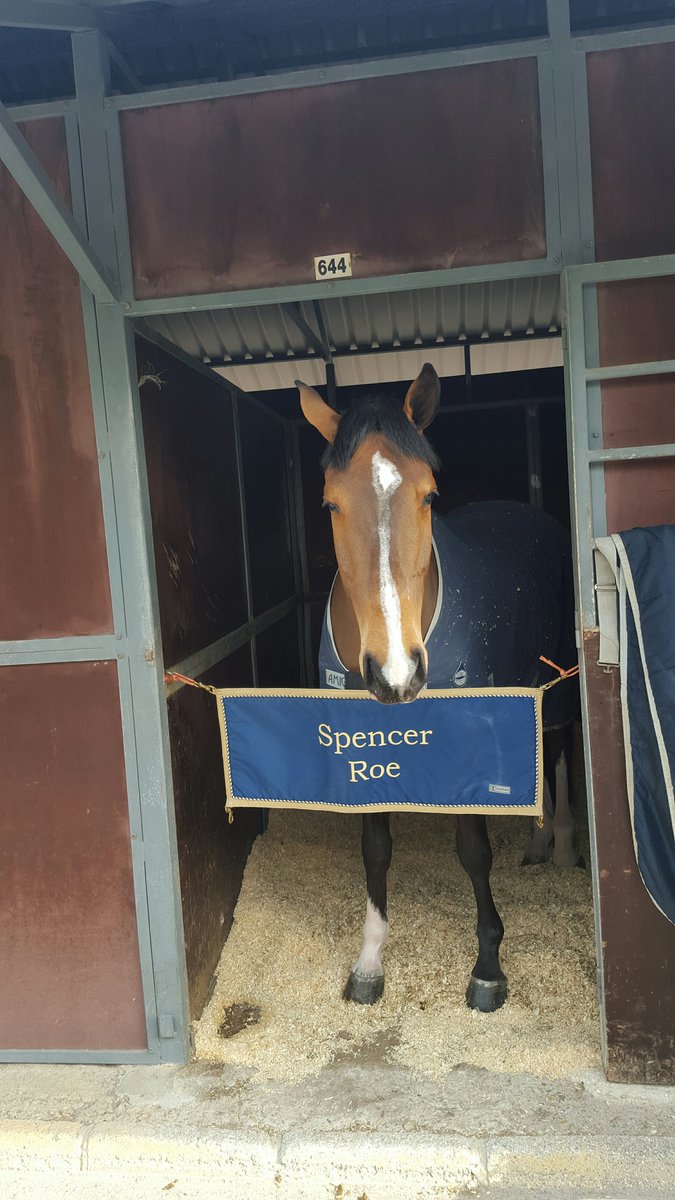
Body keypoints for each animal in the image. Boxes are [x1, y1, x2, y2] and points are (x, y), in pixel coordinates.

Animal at [296, 364, 579, 1013]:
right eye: (330, 502)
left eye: (428, 495)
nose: (395, 672)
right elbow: (375, 849)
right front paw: (370, 963)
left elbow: (474, 851)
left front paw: (488, 970)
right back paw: (539, 845)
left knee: (559, 748)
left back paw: (563, 847)